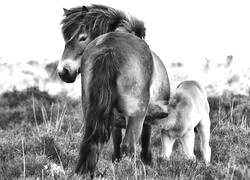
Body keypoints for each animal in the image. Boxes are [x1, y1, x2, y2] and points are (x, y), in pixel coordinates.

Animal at [56, 4, 170, 175]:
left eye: (82, 38)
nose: (63, 71)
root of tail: (109, 48)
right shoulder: (144, 120)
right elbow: (144, 141)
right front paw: (147, 164)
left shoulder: (114, 120)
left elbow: (115, 145)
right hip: (136, 116)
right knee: (129, 146)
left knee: (91, 142)